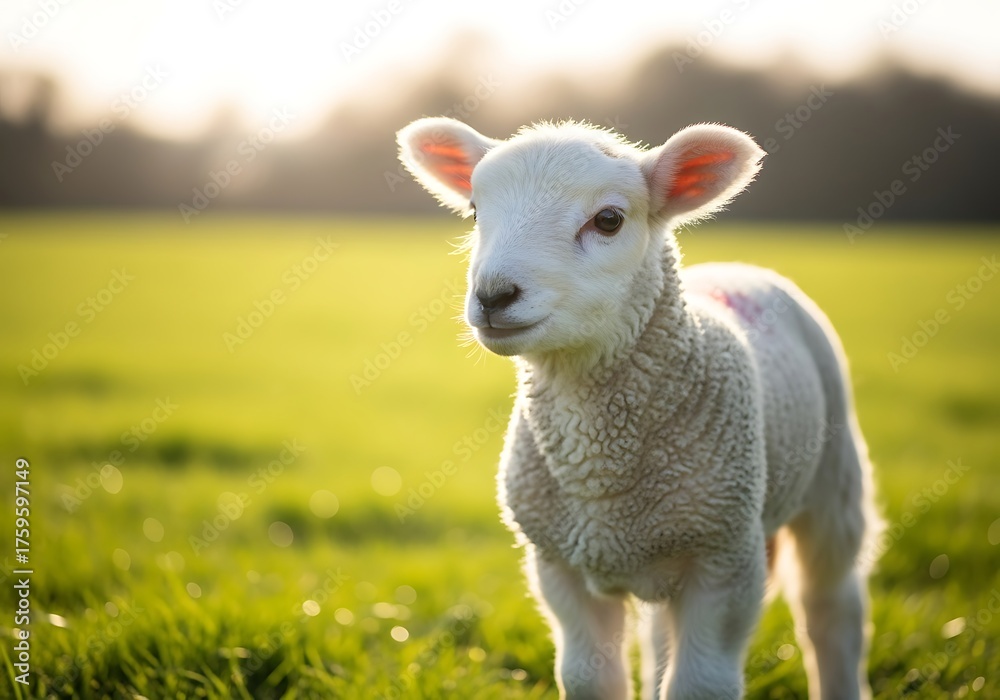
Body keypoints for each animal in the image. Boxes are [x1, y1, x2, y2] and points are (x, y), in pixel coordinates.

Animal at [397, 117, 881, 700]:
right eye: (473, 211)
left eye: (608, 220)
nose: (493, 296)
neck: (601, 478)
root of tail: (740, 267)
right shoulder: (559, 565)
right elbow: (588, 678)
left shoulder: (724, 562)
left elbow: (701, 686)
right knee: (659, 640)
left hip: (834, 483)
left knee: (831, 608)